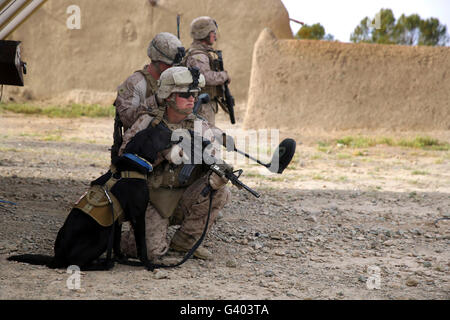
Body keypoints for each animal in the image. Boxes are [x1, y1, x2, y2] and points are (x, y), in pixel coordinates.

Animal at [8, 125, 174, 270]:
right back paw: (104, 264)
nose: (168, 127)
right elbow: (142, 245)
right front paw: (149, 265)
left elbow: (117, 243)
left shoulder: (117, 220)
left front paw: (121, 258)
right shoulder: (138, 216)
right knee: (76, 264)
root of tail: (56, 258)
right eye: (160, 132)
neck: (133, 164)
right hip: (102, 236)